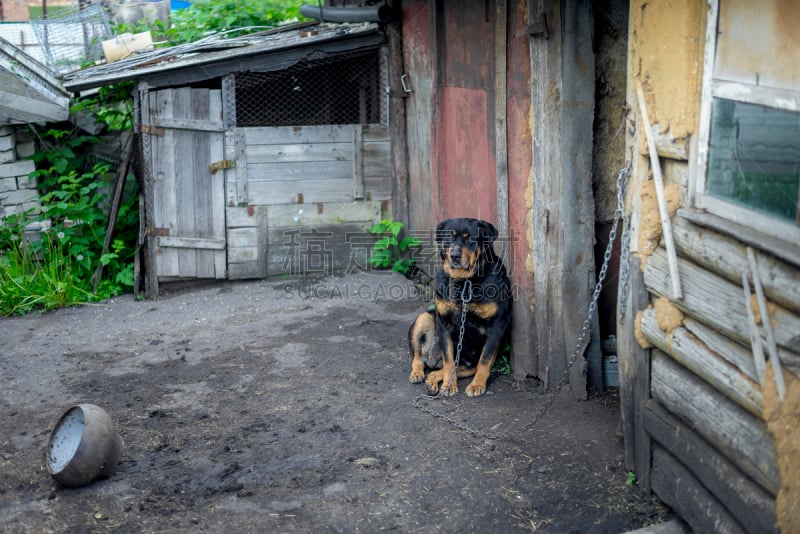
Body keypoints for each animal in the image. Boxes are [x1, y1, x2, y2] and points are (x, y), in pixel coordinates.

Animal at [406, 218, 512, 398]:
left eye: (470, 239)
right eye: (450, 237)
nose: (454, 256)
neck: (464, 282)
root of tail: (433, 360)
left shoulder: (497, 324)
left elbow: (485, 359)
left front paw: (477, 385)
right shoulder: (444, 324)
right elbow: (449, 359)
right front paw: (449, 386)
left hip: (469, 364)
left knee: (443, 370)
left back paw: (432, 381)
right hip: (424, 318)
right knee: (419, 357)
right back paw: (418, 373)